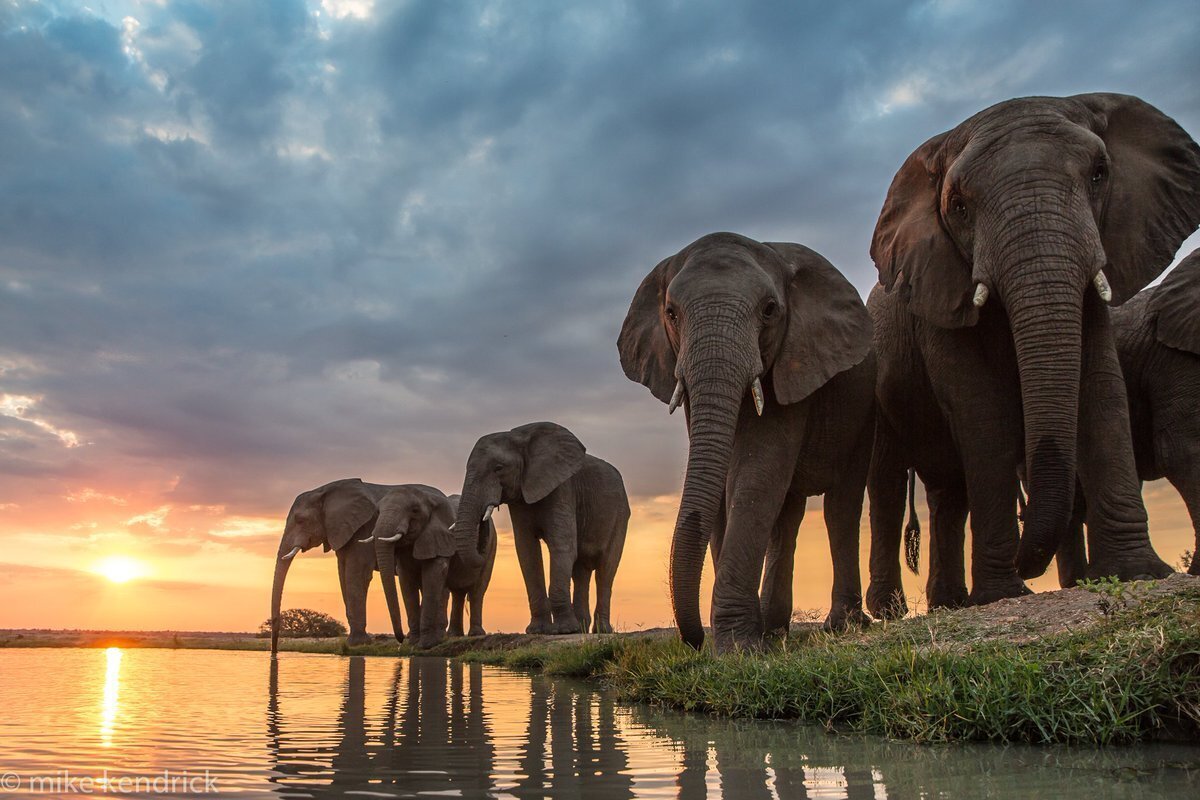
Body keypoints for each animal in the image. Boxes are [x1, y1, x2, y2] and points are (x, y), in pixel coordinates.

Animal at [268, 474, 396, 652]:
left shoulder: (365, 528)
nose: (274, 652)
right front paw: (355, 643)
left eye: (300, 520)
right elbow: (343, 574)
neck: (325, 491)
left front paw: (357, 644)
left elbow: (357, 574)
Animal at [362, 482, 499, 652]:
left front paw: (426, 645)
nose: (400, 639)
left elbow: (433, 576)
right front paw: (414, 643)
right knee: (458, 592)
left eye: (414, 510)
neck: (427, 497)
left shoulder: (440, 536)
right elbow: (406, 581)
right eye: (378, 512)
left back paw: (475, 634)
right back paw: (454, 635)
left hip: (492, 546)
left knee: (477, 590)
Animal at [451, 422, 633, 633]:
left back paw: (600, 630)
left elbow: (562, 546)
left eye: (498, 468)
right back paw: (581, 627)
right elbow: (527, 551)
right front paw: (539, 630)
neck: (520, 438)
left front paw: (564, 630)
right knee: (580, 571)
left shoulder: (562, 489)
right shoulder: (520, 498)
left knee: (606, 569)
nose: (485, 515)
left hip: (620, 515)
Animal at [619, 230, 873, 652]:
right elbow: (721, 482)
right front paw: (743, 642)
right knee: (787, 517)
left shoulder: (792, 357)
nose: (695, 641)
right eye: (671, 313)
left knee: (841, 506)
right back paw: (774, 630)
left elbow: (756, 473)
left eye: (769, 310)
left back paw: (844, 625)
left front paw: (738, 648)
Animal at [864, 94, 1200, 618]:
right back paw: (893, 612)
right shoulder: (938, 300)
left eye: (1100, 174)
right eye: (958, 206)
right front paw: (1003, 594)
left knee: (948, 493)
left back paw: (950, 605)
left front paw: (1139, 573)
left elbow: (1101, 389)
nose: (1027, 558)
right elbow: (981, 413)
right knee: (887, 484)